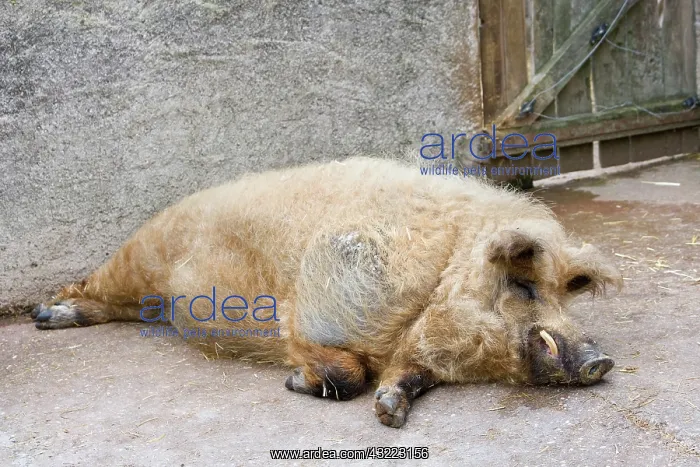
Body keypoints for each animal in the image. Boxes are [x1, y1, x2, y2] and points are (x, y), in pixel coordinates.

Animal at [31, 156, 622, 428]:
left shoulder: (416, 353)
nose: (602, 359)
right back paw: (46, 316)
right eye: (522, 284)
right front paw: (295, 383)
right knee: (91, 287)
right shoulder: (314, 315)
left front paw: (389, 414)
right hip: (136, 255)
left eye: (564, 296)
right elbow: (346, 372)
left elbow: (405, 378)